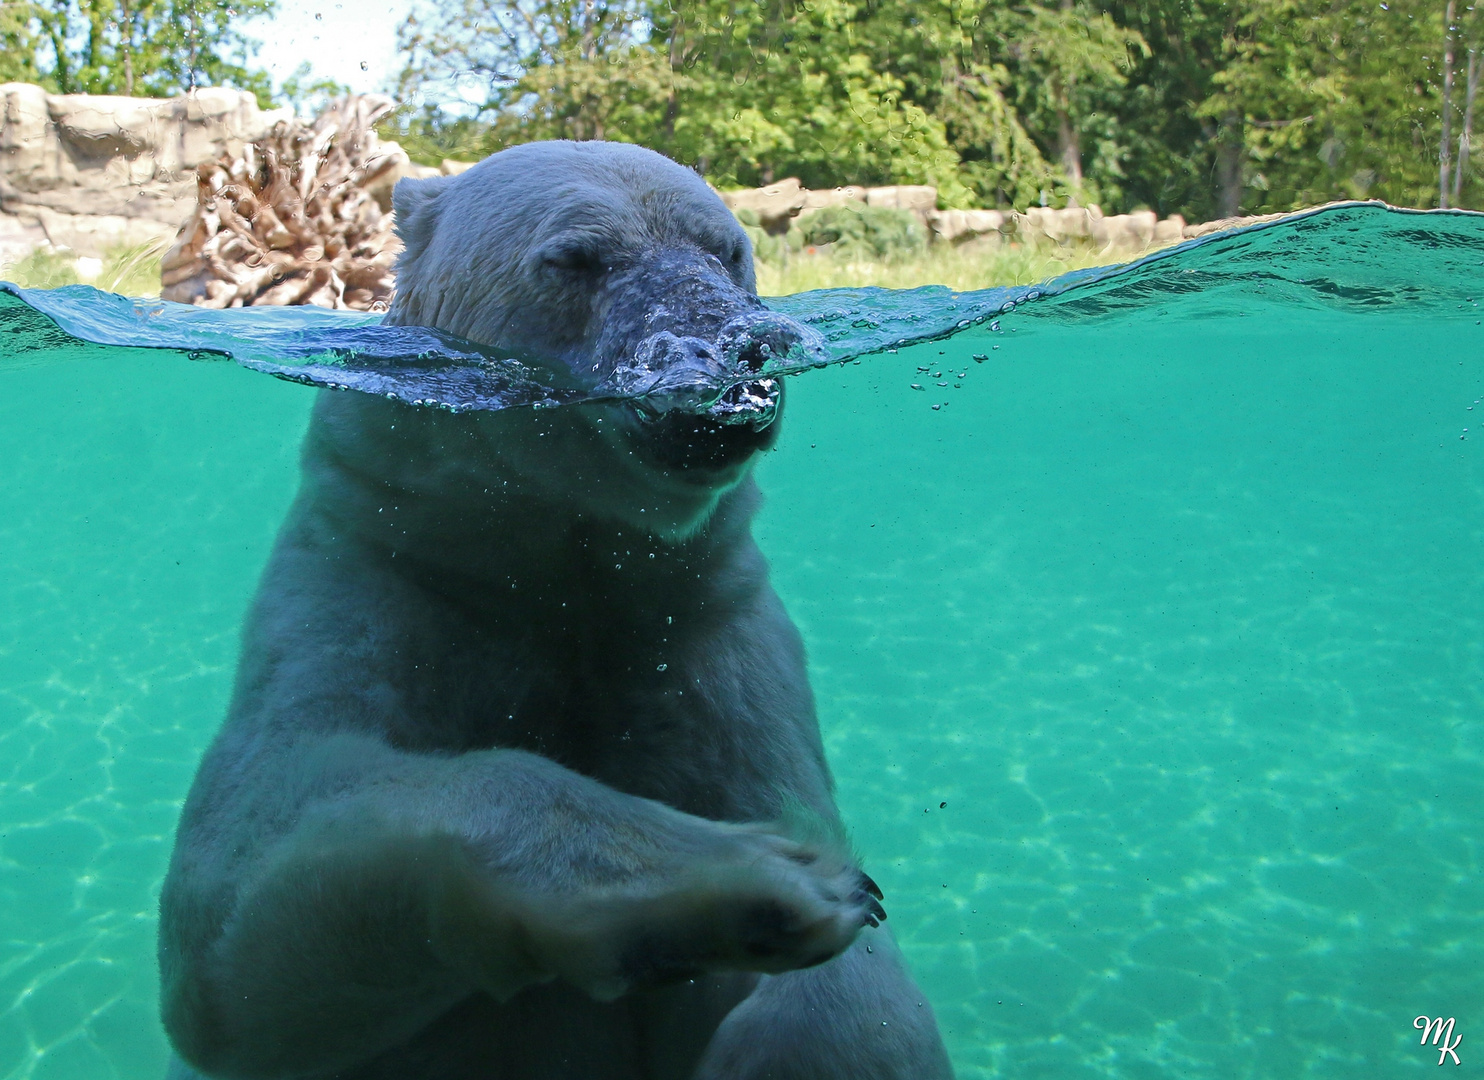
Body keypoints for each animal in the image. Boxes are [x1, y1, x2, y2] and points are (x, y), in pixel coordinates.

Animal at [159, 143, 949, 1080]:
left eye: (728, 251)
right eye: (576, 259)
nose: (740, 346)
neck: (552, 570)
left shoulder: (699, 618)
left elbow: (850, 989)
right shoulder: (386, 562)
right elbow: (236, 888)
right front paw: (756, 879)